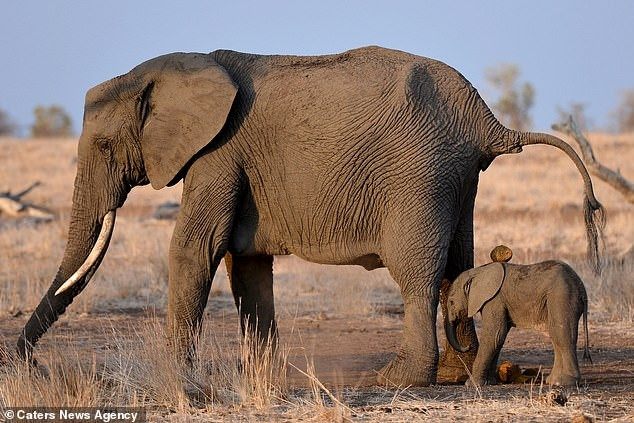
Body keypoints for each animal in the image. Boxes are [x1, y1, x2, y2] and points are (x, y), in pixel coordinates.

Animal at [442, 262, 592, 388]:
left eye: (451, 302)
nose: (468, 346)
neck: (478, 271)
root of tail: (582, 288)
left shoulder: (494, 300)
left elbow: (494, 335)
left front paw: (471, 384)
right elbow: (498, 339)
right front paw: (489, 382)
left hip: (562, 297)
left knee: (561, 334)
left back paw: (565, 382)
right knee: (555, 335)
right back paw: (552, 381)